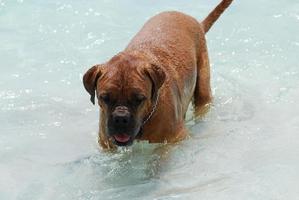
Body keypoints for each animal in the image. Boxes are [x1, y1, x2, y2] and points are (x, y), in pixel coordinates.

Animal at [82, 0, 234, 149]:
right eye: (104, 98)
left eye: (139, 99)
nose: (120, 118)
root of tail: (197, 23)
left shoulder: (174, 140)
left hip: (203, 89)